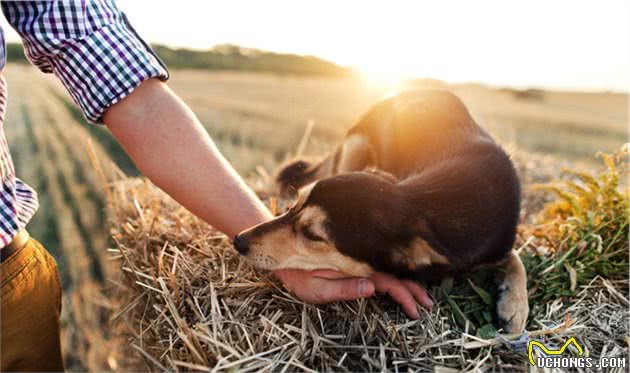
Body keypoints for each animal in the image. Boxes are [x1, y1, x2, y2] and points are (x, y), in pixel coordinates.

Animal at [235, 90, 532, 332]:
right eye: (295, 203)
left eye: (312, 235)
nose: (238, 240)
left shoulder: (495, 244)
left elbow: (516, 258)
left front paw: (516, 307)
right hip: (356, 145)